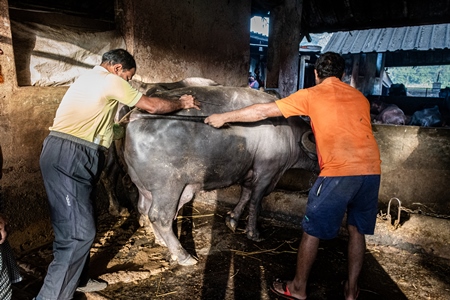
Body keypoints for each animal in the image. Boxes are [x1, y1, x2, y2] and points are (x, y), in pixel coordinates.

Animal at [123, 86, 320, 264]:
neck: (289, 132)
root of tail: (136, 115)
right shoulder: (266, 172)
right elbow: (256, 201)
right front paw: (253, 233)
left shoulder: (249, 172)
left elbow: (245, 195)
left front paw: (232, 219)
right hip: (168, 188)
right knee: (160, 217)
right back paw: (183, 256)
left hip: (143, 186)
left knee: (144, 209)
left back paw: (161, 242)